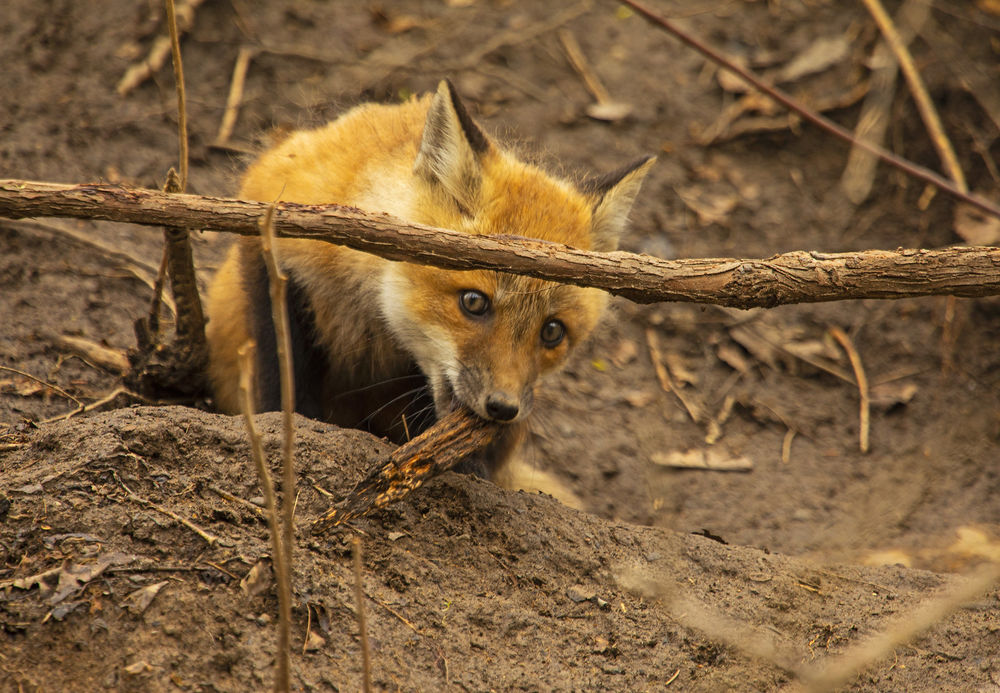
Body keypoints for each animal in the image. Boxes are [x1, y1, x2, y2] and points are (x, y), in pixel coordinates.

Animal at [207, 79, 652, 502]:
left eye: (553, 331)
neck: (368, 304)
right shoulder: (273, 247)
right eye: (474, 302)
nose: (503, 407)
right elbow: (282, 377)